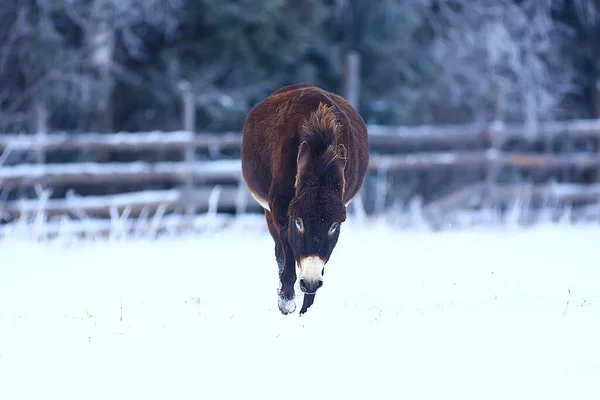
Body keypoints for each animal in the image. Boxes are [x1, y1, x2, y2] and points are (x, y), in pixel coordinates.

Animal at [241, 83, 368, 316]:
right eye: (298, 222)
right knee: (279, 252)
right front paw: (286, 300)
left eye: (334, 225)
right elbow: (287, 249)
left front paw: (306, 309)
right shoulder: (281, 208)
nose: (309, 282)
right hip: (268, 211)